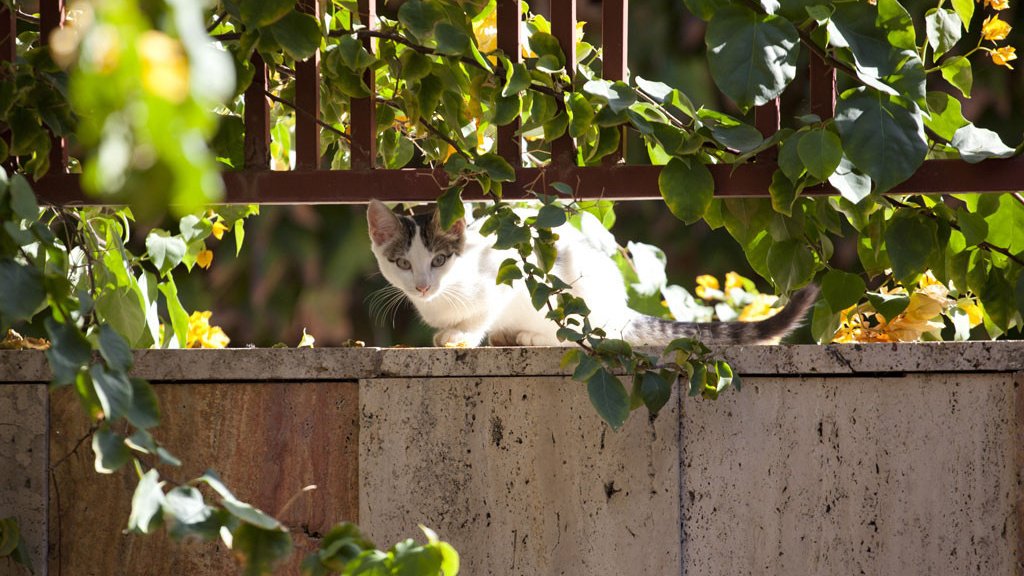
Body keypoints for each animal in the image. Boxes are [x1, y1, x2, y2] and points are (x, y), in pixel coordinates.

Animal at [364, 199, 819, 344]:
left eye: (440, 260)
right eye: (402, 264)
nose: (423, 287)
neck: (447, 295)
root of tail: (620, 310)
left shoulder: (505, 276)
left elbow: (484, 312)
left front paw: (461, 335)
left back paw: (531, 337)